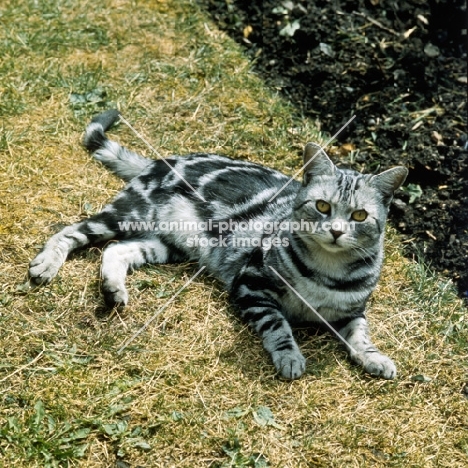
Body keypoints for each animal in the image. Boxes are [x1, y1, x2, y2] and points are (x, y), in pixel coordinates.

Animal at [29, 109, 408, 380]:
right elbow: (278, 325)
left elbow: (361, 335)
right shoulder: (250, 285)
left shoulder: (351, 312)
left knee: (116, 250)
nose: (336, 232)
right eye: (323, 207)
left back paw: (113, 288)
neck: (327, 270)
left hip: (169, 244)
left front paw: (375, 357)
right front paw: (289, 356)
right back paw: (47, 264)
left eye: (359, 215)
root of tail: (162, 160)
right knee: (70, 231)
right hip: (128, 214)